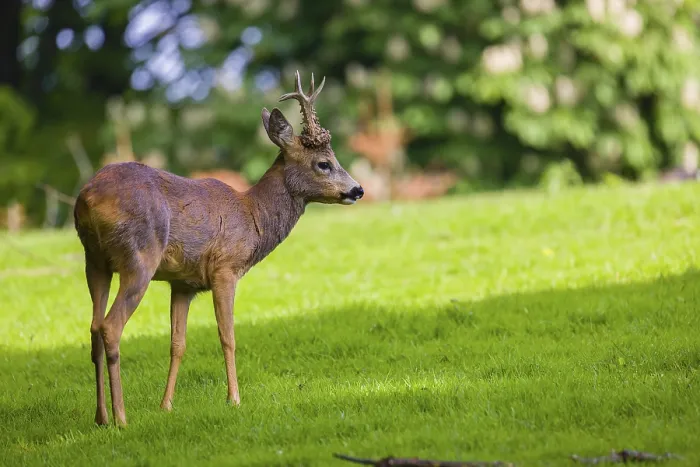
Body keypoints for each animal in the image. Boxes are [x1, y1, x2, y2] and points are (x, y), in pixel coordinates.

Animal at [73, 71, 364, 427]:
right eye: (324, 163)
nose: (358, 189)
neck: (253, 215)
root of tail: (86, 198)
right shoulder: (225, 268)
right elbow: (228, 336)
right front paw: (234, 399)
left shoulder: (182, 283)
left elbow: (177, 343)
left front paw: (166, 405)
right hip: (139, 256)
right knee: (110, 327)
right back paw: (122, 418)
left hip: (94, 260)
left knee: (93, 328)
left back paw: (101, 417)